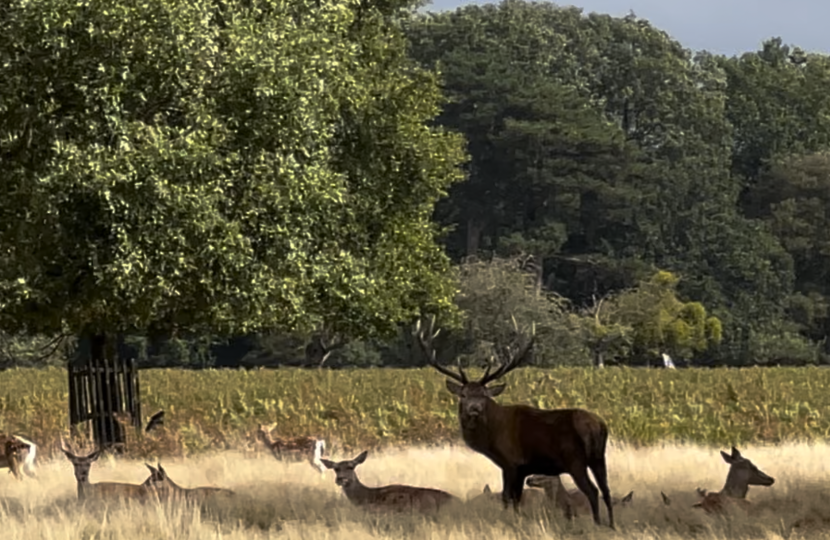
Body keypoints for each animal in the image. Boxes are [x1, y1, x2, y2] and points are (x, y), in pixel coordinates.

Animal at [415, 315, 615, 528]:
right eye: (463, 394)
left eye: (484, 395)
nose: (474, 409)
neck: (492, 438)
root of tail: (599, 425)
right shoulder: (513, 467)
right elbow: (509, 497)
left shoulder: (513, 462)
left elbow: (510, 498)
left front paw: (512, 521)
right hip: (598, 457)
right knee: (606, 490)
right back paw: (611, 525)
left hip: (575, 459)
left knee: (592, 490)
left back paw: (597, 524)